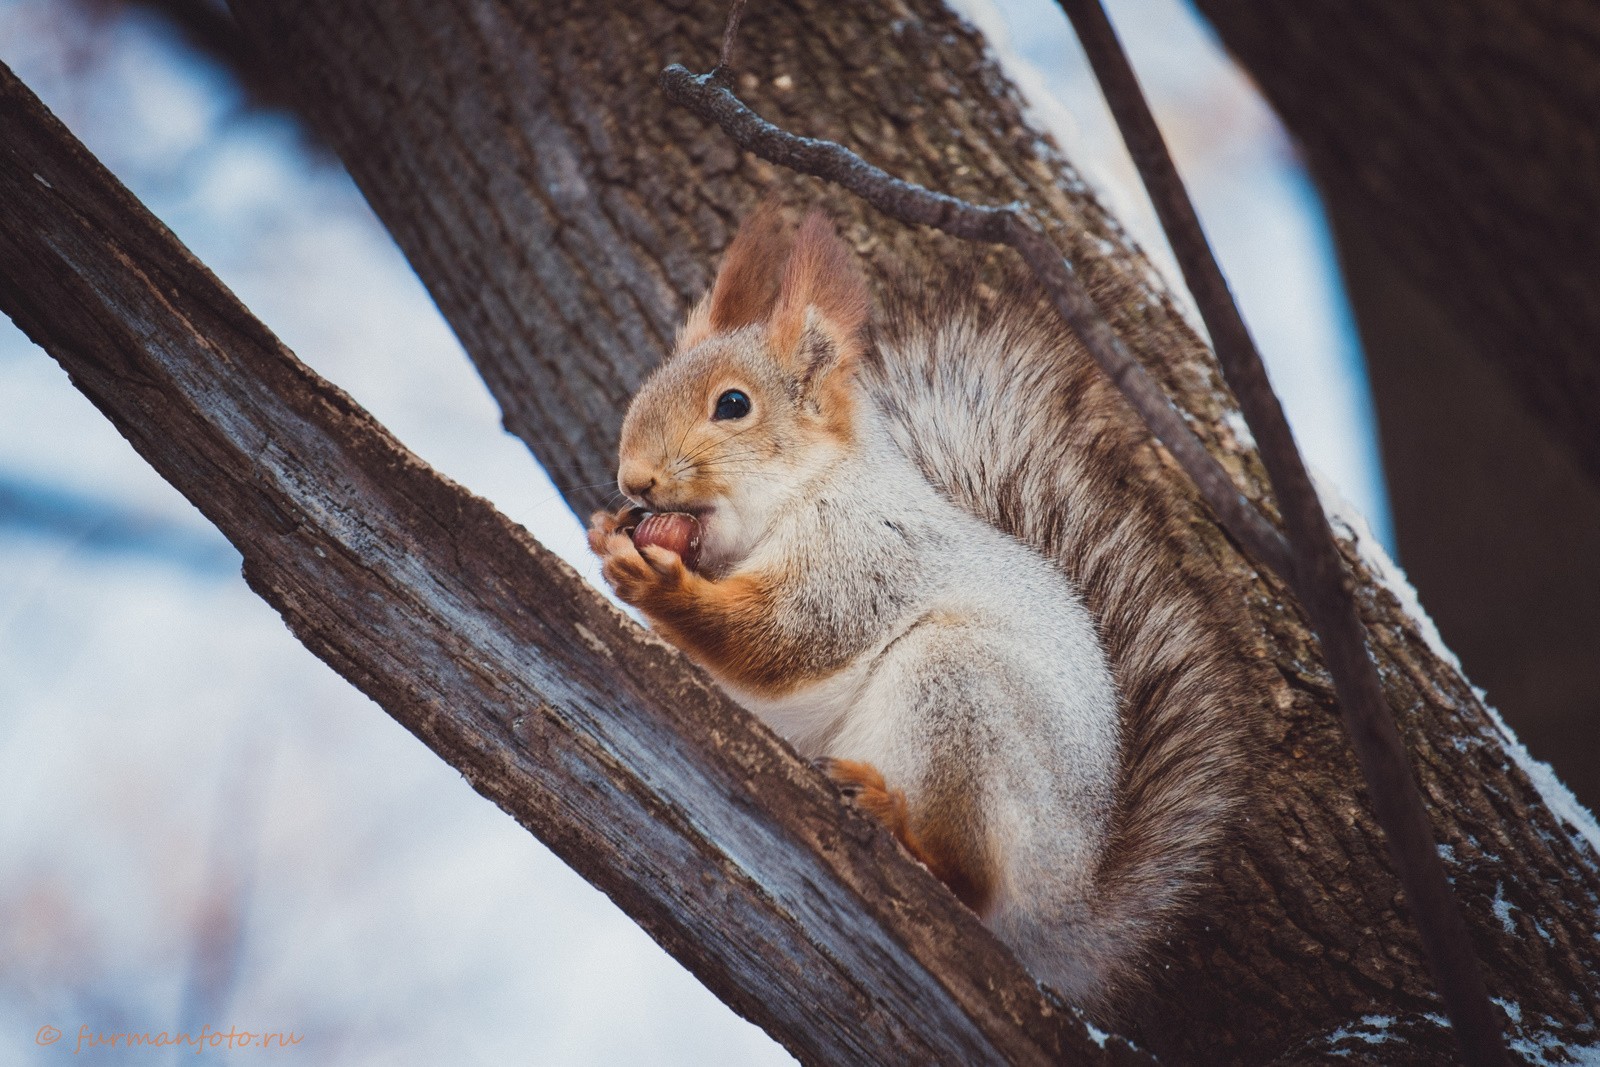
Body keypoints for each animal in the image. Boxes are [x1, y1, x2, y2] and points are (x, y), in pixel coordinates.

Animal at [588, 202, 1260, 1017]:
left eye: (734, 405)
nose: (634, 480)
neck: (792, 500)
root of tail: (1064, 908)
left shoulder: (865, 555)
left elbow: (787, 636)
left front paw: (659, 585)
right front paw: (608, 533)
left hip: (957, 691)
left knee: (967, 879)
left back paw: (893, 818)